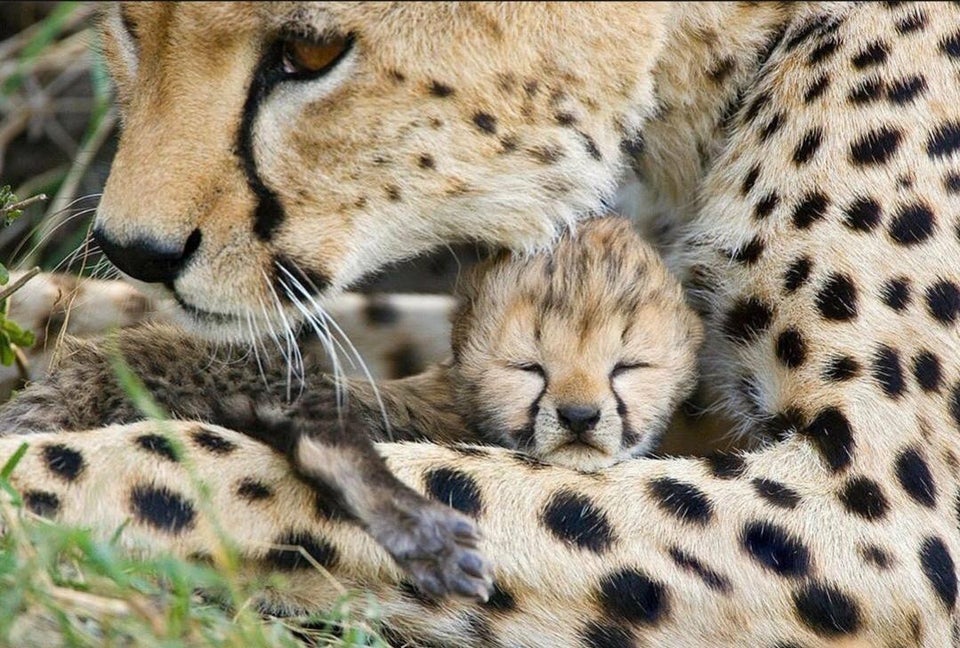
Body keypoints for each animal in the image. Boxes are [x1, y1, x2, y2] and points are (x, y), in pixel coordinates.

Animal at [1, 1, 960, 646]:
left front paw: (32, 480)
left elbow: (210, 466)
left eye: (311, 48)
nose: (135, 249)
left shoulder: (886, 518)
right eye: (129, 21)